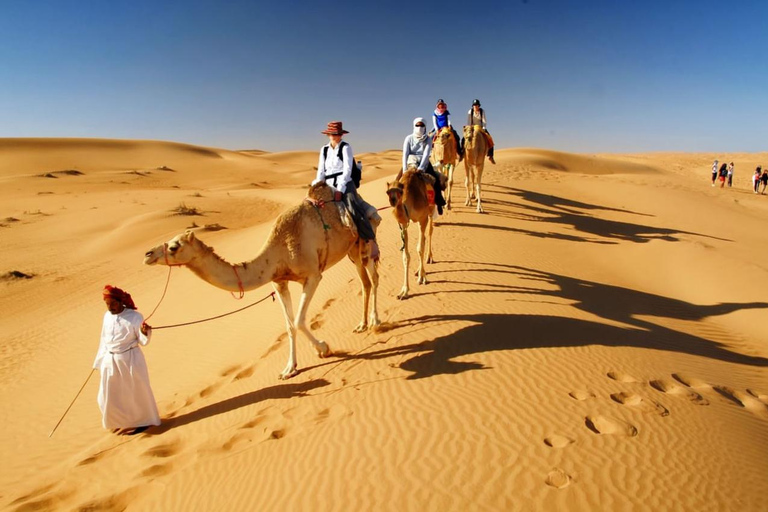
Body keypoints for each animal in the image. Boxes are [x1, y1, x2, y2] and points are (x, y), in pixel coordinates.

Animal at [142, 182, 380, 378]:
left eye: (174, 247)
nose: (148, 254)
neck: (279, 250)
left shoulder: (313, 275)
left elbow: (299, 320)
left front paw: (323, 348)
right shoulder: (279, 281)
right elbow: (289, 325)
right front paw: (289, 369)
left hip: (364, 241)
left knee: (374, 278)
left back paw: (376, 322)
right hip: (351, 250)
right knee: (365, 282)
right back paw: (362, 324)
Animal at [388, 167, 436, 300]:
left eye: (400, 190)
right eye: (387, 192)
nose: (393, 200)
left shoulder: (423, 218)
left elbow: (420, 248)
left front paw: (422, 278)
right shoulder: (404, 224)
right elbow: (406, 256)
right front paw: (404, 291)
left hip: (431, 210)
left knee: (429, 232)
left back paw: (429, 259)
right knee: (424, 238)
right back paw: (418, 270)